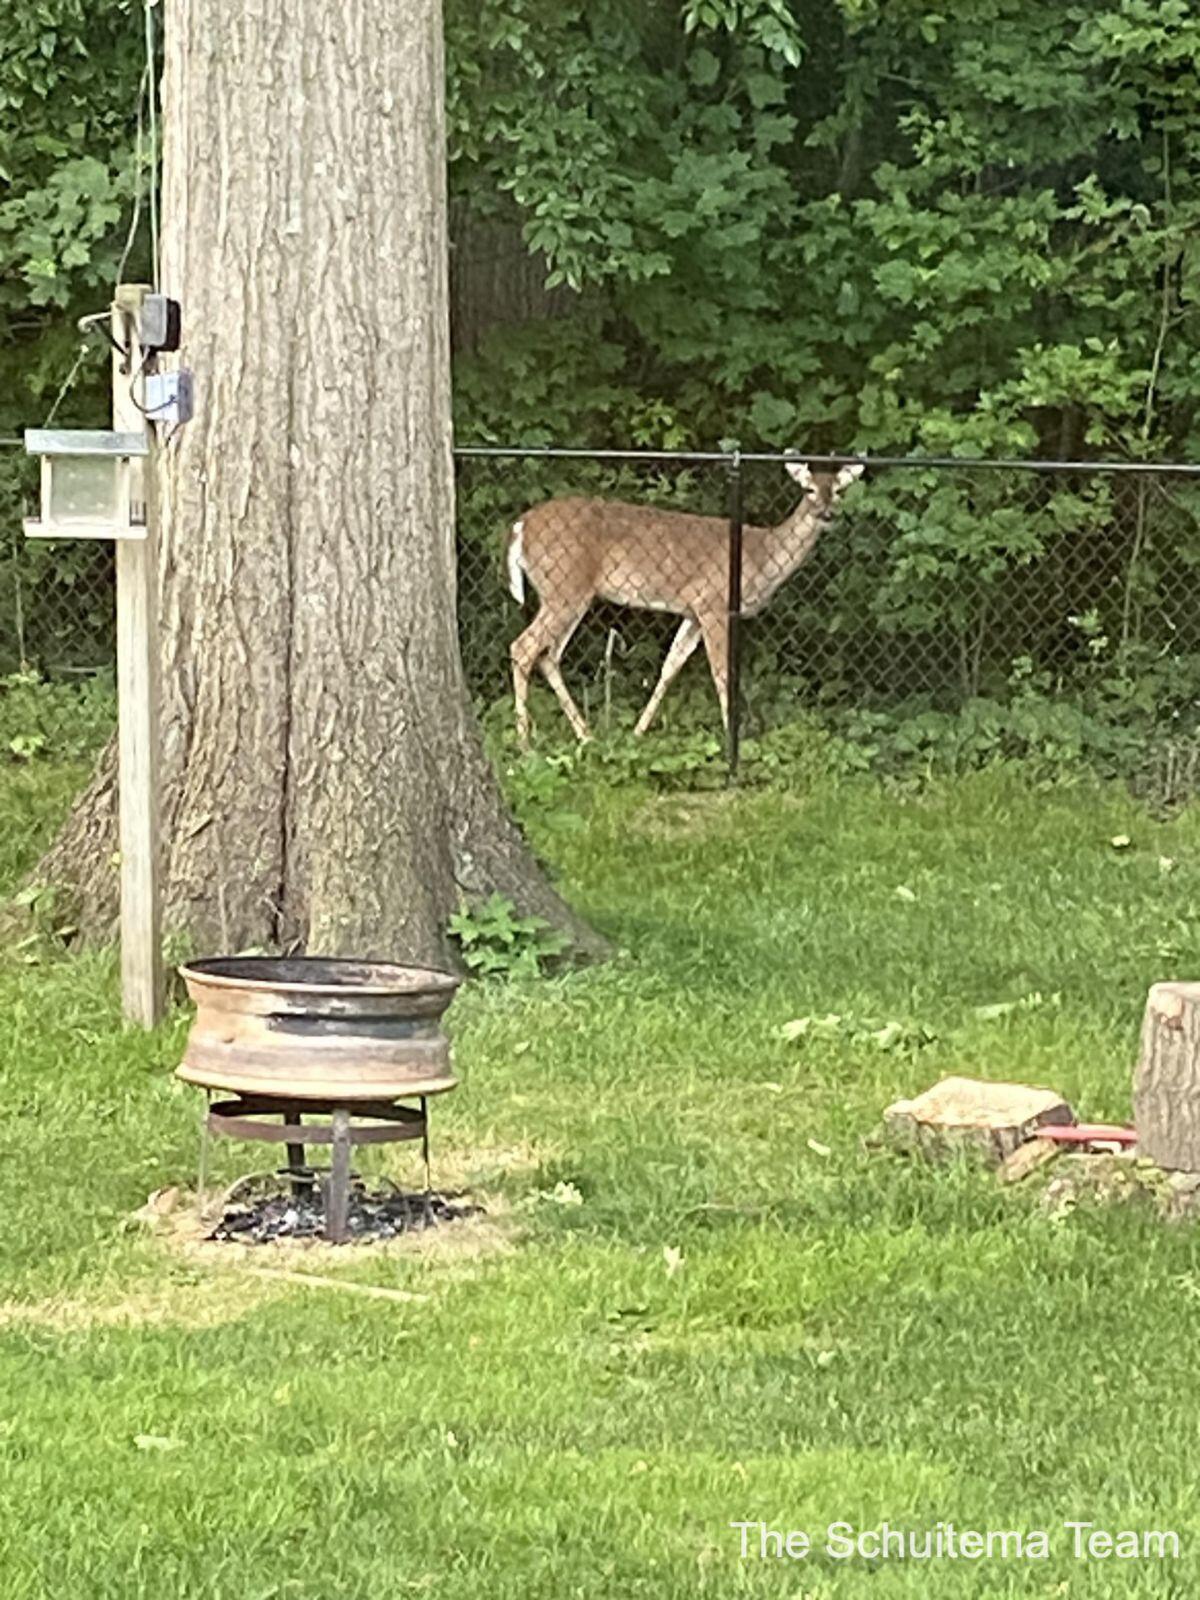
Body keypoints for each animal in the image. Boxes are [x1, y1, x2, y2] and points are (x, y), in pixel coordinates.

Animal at [508, 457, 864, 742]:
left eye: (838, 491)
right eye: (809, 490)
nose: (827, 513)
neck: (761, 557)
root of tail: (520, 526)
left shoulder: (692, 611)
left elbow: (670, 666)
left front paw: (638, 732)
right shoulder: (714, 603)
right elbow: (722, 674)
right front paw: (731, 736)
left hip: (567, 594)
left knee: (548, 654)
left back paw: (586, 735)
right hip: (564, 586)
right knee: (524, 647)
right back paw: (525, 744)